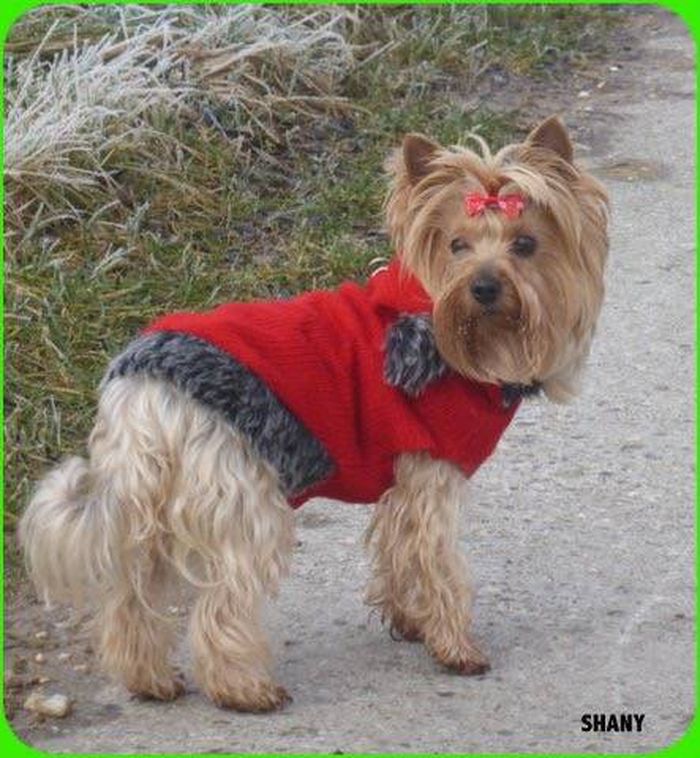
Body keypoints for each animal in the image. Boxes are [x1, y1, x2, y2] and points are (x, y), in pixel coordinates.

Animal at [19, 116, 609, 712]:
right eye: (457, 245)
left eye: (526, 244)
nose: (483, 286)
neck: (445, 330)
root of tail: (144, 395)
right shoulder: (431, 475)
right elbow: (436, 562)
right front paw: (455, 646)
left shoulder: (402, 480)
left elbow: (397, 550)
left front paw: (409, 621)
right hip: (242, 492)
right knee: (225, 597)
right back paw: (245, 689)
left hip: (151, 499)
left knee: (132, 592)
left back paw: (149, 679)